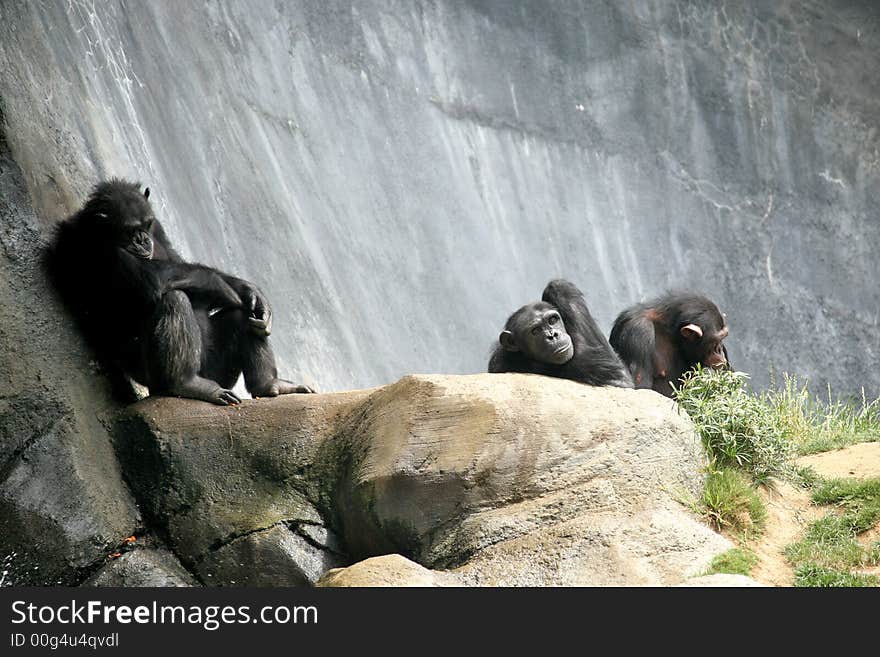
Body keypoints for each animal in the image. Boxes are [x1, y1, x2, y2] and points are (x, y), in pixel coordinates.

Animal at [49, 179, 316, 404]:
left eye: (146, 224)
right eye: (129, 229)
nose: (143, 240)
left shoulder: (158, 229)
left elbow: (180, 262)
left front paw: (250, 291)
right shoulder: (94, 246)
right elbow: (154, 280)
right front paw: (225, 288)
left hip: (217, 371)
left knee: (243, 315)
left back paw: (270, 384)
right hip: (153, 378)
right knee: (175, 299)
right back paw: (187, 384)